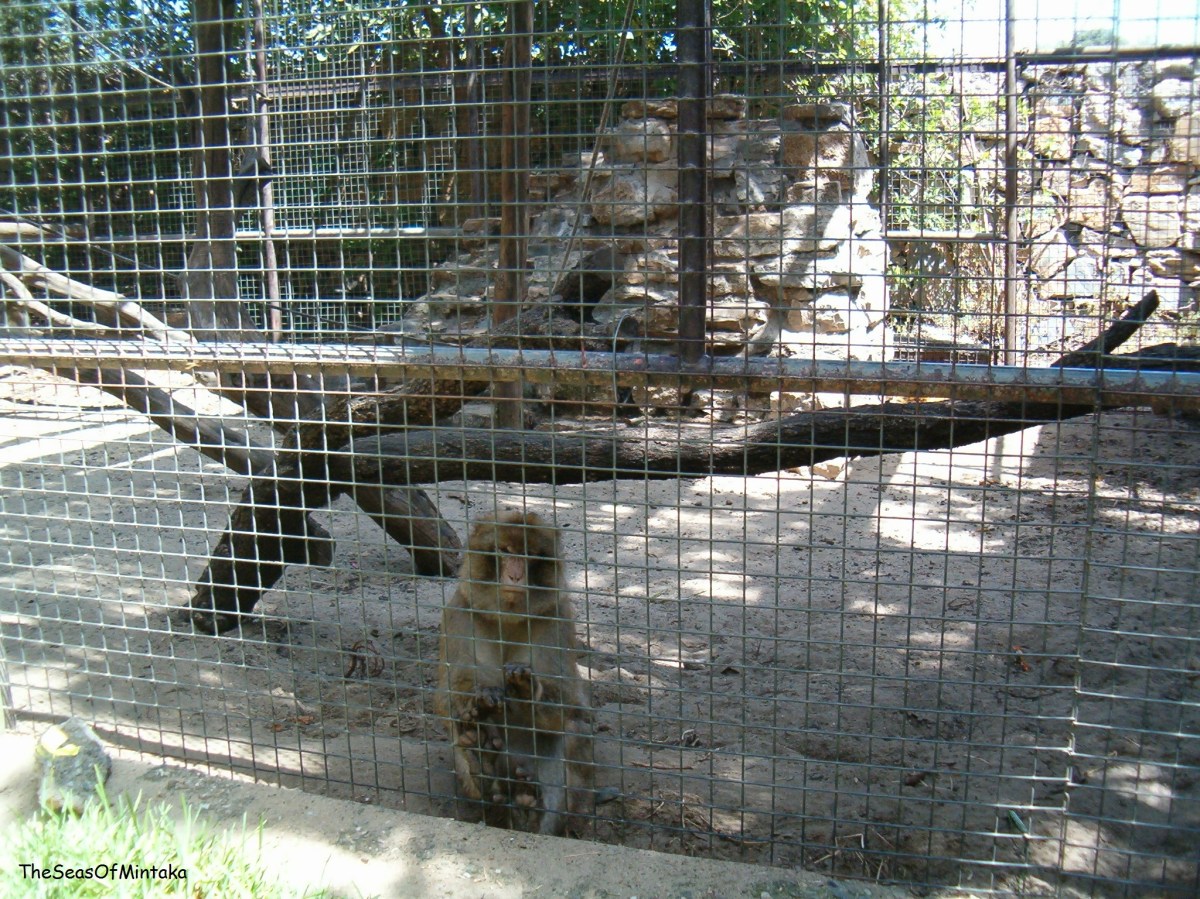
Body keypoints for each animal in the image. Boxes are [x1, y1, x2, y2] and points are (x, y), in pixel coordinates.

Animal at [436, 510, 592, 835]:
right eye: (504, 551)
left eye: (529, 555)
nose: (516, 576)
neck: (507, 617)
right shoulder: (457, 613)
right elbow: (448, 694)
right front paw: (483, 695)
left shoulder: (556, 618)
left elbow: (570, 700)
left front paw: (525, 690)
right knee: (464, 728)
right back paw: (484, 768)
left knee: (574, 727)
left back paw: (531, 814)